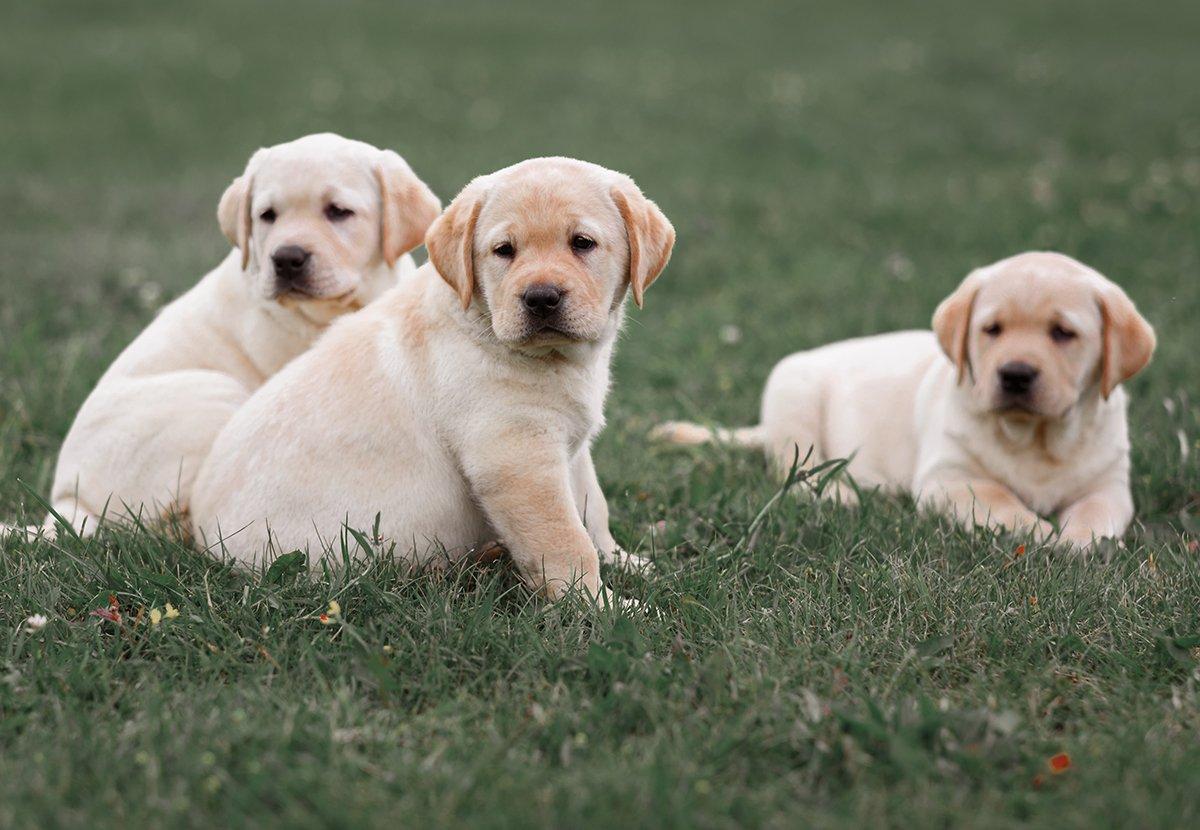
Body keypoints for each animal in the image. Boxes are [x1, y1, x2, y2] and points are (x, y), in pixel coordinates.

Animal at [192, 155, 672, 599]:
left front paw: (627, 563)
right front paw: (602, 607)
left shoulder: (571, 445)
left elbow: (593, 512)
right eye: (504, 250)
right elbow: (565, 541)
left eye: (582, 243)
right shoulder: (516, 459)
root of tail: (202, 540)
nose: (541, 298)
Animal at [652, 253, 1156, 551]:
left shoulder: (1110, 484)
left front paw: (1077, 539)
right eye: (991, 329)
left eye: (1063, 333)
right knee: (797, 475)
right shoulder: (949, 478)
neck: (1034, 438)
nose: (1015, 374)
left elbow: (1096, 512)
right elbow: (1000, 499)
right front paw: (1040, 531)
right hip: (792, 395)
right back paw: (842, 493)